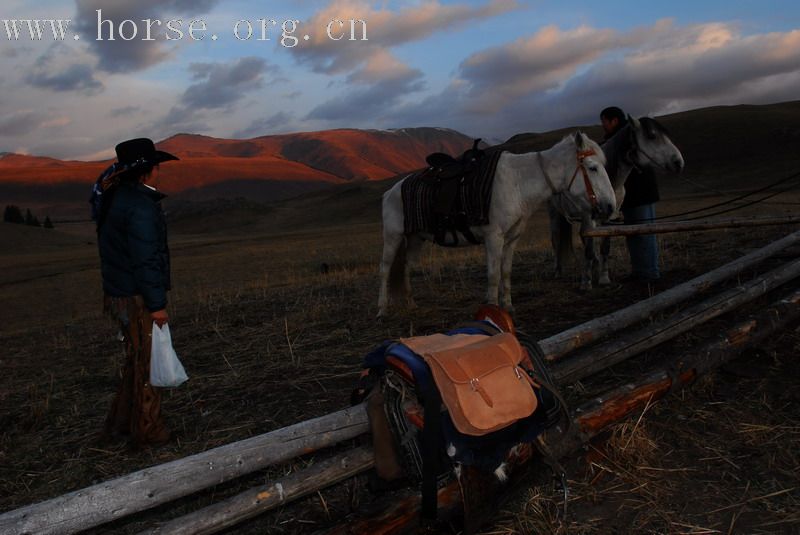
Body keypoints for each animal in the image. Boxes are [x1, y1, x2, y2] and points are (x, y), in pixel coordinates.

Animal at [378, 133, 616, 318]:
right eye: (593, 168)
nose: (611, 206)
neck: (517, 183)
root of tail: (389, 192)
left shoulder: (511, 239)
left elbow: (506, 272)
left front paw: (508, 307)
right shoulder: (494, 238)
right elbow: (493, 275)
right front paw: (492, 310)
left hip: (415, 239)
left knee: (406, 267)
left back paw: (410, 304)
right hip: (393, 237)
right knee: (385, 269)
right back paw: (382, 310)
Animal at [552, 116, 688, 288]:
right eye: (652, 136)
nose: (679, 163)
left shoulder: (608, 216)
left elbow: (604, 247)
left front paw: (603, 278)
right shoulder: (589, 216)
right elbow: (588, 249)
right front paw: (586, 282)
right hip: (557, 215)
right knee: (556, 240)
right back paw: (557, 271)